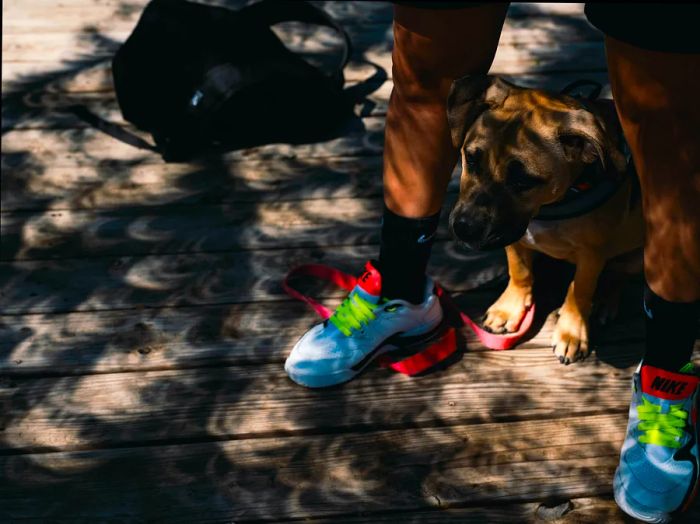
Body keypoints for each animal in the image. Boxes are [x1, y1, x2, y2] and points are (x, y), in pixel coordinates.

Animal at [446, 75, 644, 364]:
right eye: (470, 159)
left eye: (523, 181)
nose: (464, 228)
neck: (550, 206)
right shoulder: (515, 238)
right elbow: (519, 271)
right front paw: (510, 307)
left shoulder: (592, 254)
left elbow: (580, 289)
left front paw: (572, 332)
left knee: (616, 274)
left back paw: (605, 300)